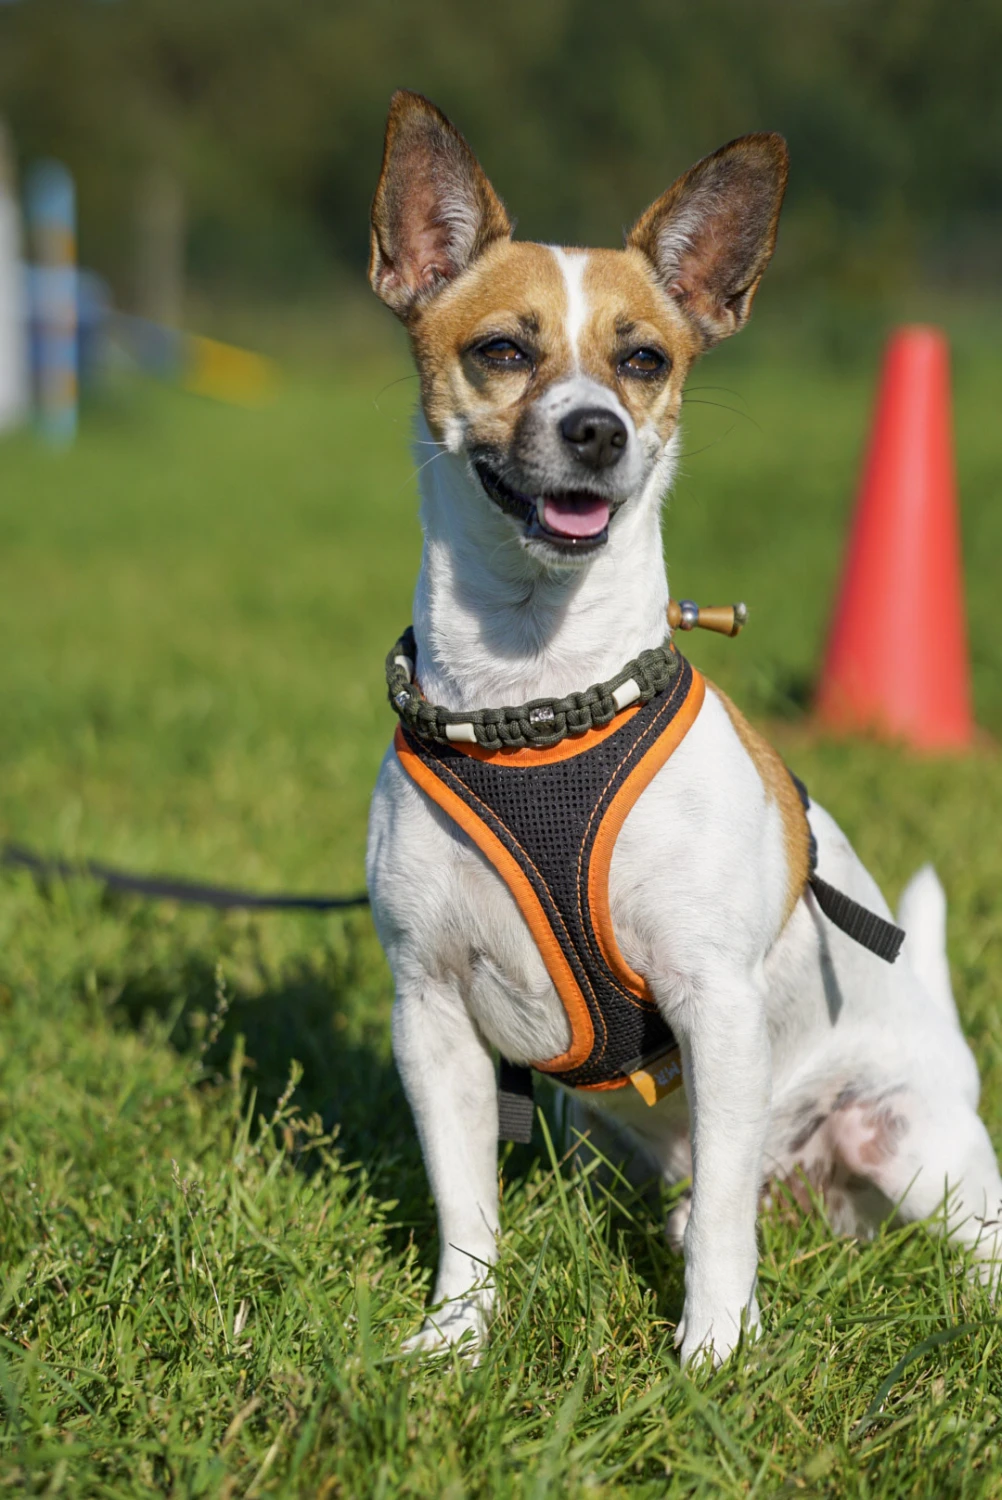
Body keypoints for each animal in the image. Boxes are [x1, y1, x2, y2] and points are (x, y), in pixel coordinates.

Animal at [364, 87, 996, 1368]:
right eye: (503, 352)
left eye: (643, 359)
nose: (598, 429)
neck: (534, 697)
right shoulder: (431, 1015)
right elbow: (465, 1205)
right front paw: (456, 1340)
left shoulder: (715, 1003)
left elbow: (718, 1239)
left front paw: (712, 1354)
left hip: (917, 1146)